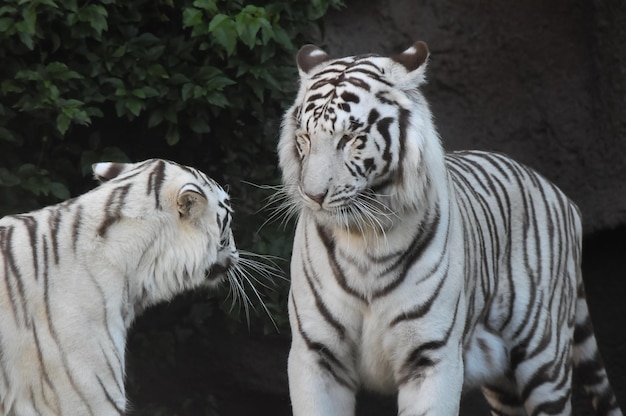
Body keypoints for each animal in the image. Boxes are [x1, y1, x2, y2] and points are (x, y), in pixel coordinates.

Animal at [280, 40, 620, 414]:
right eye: (304, 138)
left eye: (351, 138)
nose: (313, 196)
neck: (364, 241)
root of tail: (562, 196)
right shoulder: (317, 354)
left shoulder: (430, 354)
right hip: (504, 386)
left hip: (544, 360)